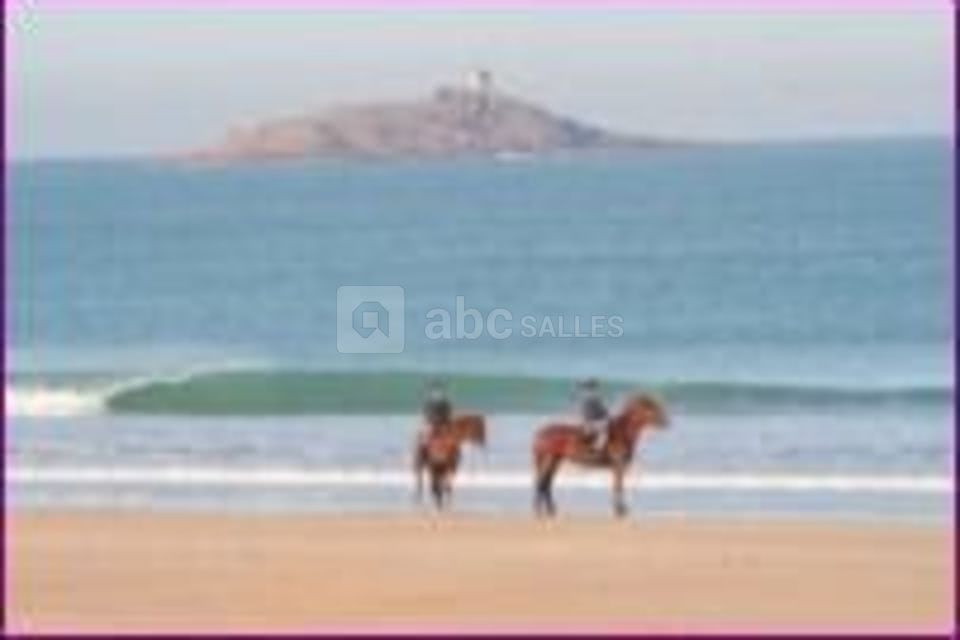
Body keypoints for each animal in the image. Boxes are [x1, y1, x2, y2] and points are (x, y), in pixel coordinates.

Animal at [532, 393, 668, 518]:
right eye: (652, 407)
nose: (667, 422)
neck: (623, 432)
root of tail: (540, 433)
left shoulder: (618, 467)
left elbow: (618, 486)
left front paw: (620, 510)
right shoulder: (618, 466)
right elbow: (618, 487)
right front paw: (620, 511)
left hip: (555, 460)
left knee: (546, 484)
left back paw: (551, 512)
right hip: (548, 459)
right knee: (542, 483)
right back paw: (539, 512)